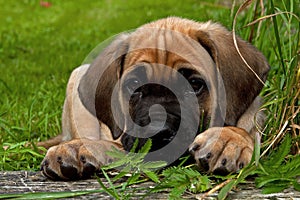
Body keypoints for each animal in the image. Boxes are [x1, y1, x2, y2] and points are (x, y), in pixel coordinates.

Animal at [38, 16, 268, 180]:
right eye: (133, 85)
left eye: (194, 85)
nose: (158, 131)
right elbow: (115, 147)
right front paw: (78, 148)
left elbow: (242, 131)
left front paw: (229, 140)